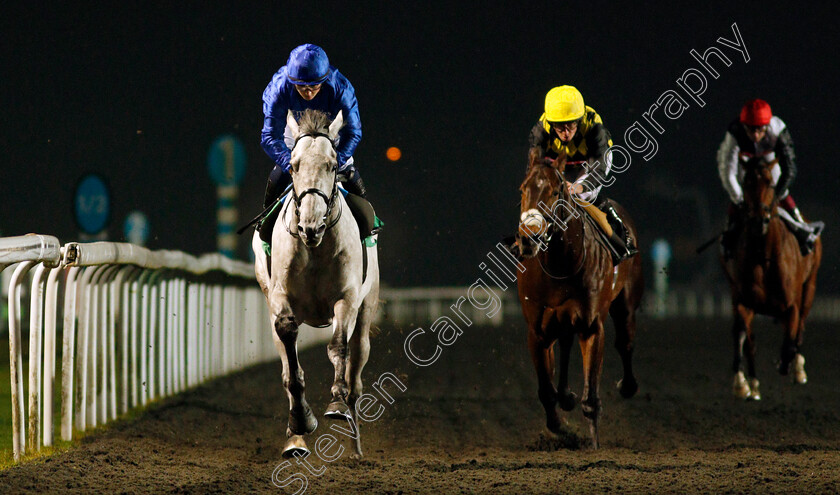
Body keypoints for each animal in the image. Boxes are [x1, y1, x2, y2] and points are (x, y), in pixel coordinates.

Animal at [251, 110, 378, 460]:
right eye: (293, 166)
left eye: (333, 165)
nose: (311, 225)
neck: (315, 248)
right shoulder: (280, 299)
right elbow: (291, 366)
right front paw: (300, 423)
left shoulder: (347, 298)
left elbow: (338, 348)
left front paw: (336, 403)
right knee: (286, 365)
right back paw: (295, 440)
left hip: (367, 307)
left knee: (356, 367)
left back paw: (355, 443)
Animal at [512, 151, 644, 450]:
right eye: (523, 189)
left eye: (555, 191)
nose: (529, 239)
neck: (560, 264)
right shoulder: (537, 330)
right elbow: (545, 390)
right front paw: (561, 427)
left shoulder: (591, 326)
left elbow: (591, 398)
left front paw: (593, 445)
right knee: (565, 344)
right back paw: (566, 396)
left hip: (626, 303)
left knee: (625, 341)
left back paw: (627, 385)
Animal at [720, 157, 820, 402]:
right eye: (745, 182)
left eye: (769, 182)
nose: (758, 219)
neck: (764, 257)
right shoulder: (744, 303)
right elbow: (748, 341)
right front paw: (749, 385)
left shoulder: (792, 305)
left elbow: (791, 342)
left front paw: (788, 365)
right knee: (741, 333)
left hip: (809, 288)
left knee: (800, 327)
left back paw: (797, 368)